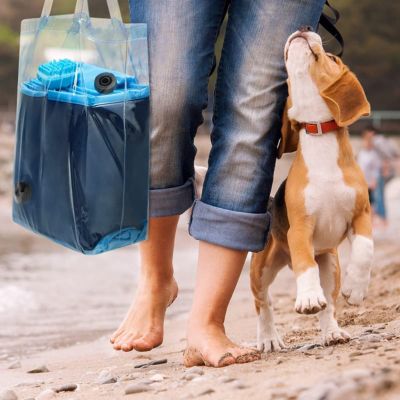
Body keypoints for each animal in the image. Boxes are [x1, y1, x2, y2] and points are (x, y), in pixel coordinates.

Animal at [252, 29, 374, 352]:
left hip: (330, 264)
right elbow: (304, 265)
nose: (304, 26)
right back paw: (268, 338)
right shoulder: (300, 229)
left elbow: (365, 249)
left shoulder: (361, 215)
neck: (319, 132)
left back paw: (332, 332)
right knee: (263, 303)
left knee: (329, 305)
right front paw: (307, 298)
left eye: (331, 56)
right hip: (261, 268)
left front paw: (357, 289)